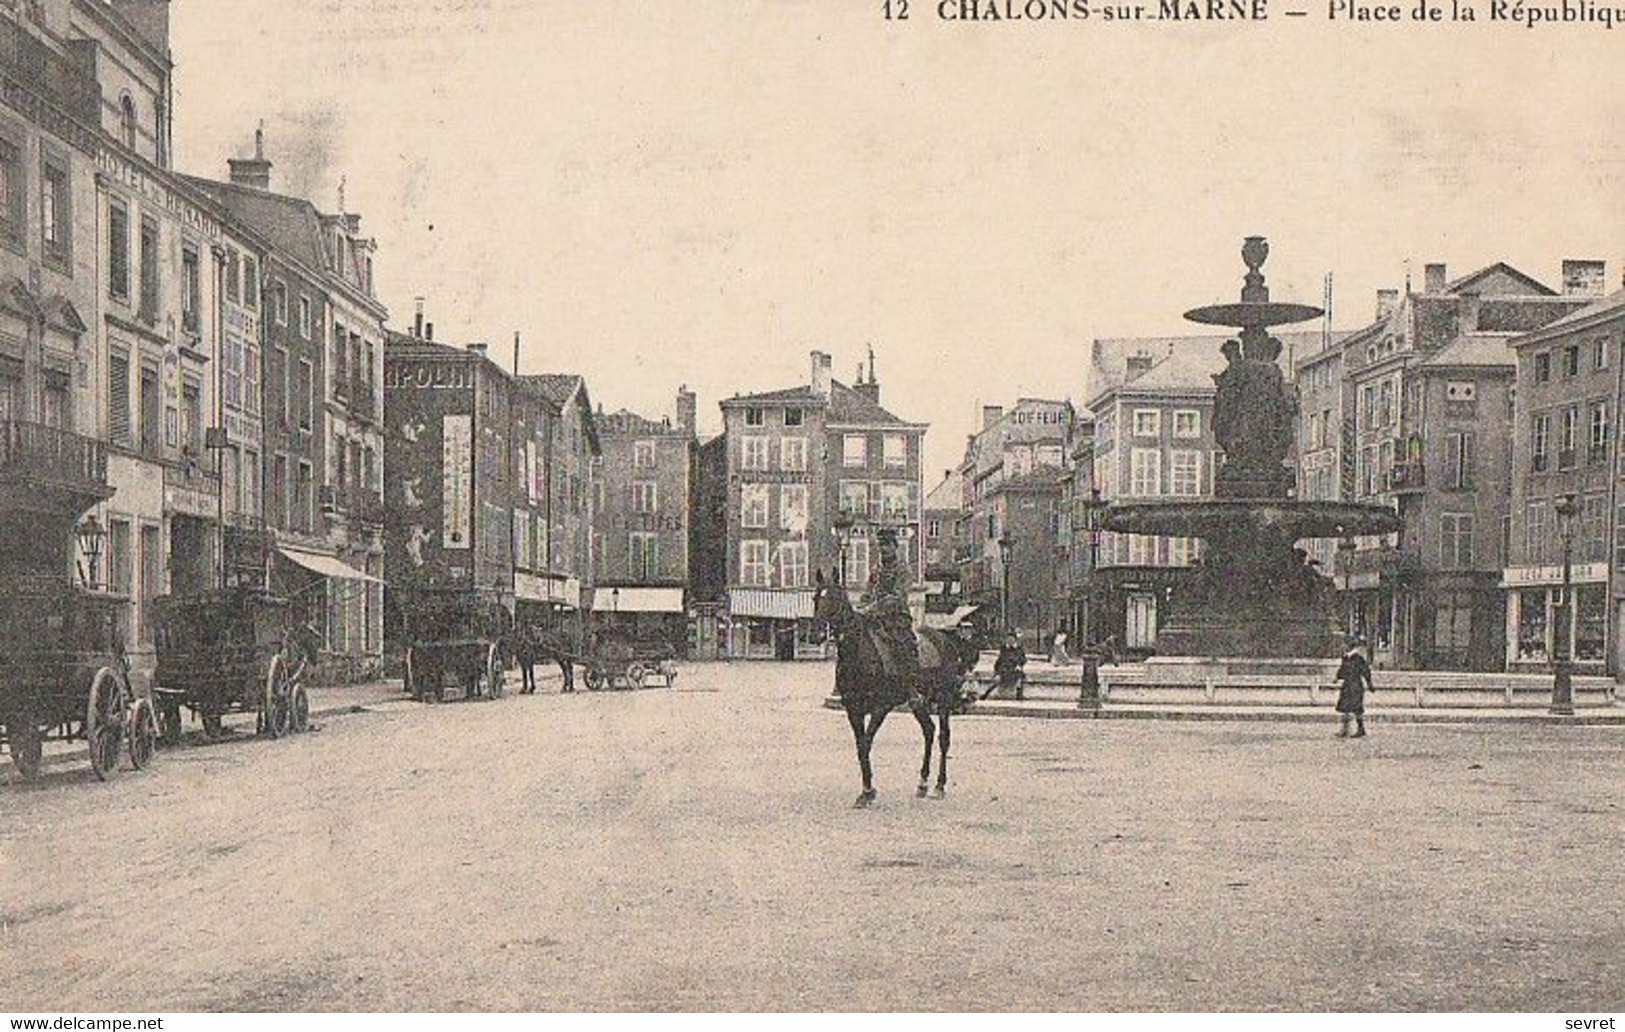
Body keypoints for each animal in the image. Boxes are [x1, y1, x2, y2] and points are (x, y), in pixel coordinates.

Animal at [812, 572, 975, 806]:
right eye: (816, 598)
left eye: (835, 598)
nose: (816, 634)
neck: (859, 653)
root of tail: (944, 639)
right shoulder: (853, 709)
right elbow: (861, 746)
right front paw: (866, 789)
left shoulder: (881, 707)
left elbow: (866, 743)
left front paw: (868, 791)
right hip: (919, 701)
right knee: (929, 730)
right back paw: (922, 783)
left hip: (943, 699)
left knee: (944, 737)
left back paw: (939, 785)